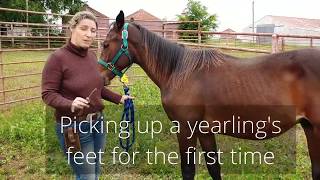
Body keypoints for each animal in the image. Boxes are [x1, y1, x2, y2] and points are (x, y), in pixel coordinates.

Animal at [98, 10, 320, 179]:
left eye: (106, 44)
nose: (99, 77)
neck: (179, 71)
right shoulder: (204, 130)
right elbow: (214, 167)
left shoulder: (186, 128)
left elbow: (188, 170)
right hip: (309, 127)